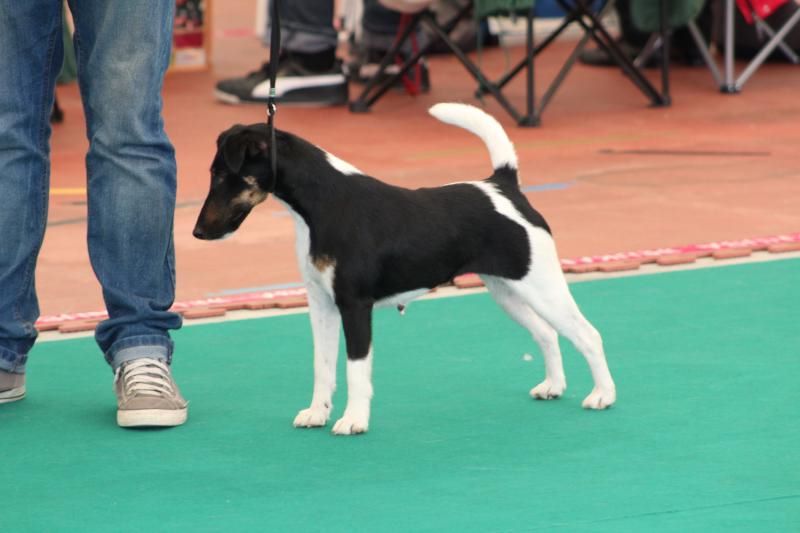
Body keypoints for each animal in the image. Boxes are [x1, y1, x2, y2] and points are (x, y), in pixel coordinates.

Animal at [195, 103, 620, 432]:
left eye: (222, 174)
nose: (198, 232)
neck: (322, 205)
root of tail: (504, 187)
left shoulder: (354, 306)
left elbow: (355, 368)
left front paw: (353, 421)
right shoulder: (320, 305)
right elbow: (323, 366)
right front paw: (317, 414)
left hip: (542, 286)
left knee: (588, 335)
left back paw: (602, 395)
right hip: (507, 291)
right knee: (547, 334)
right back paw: (552, 387)